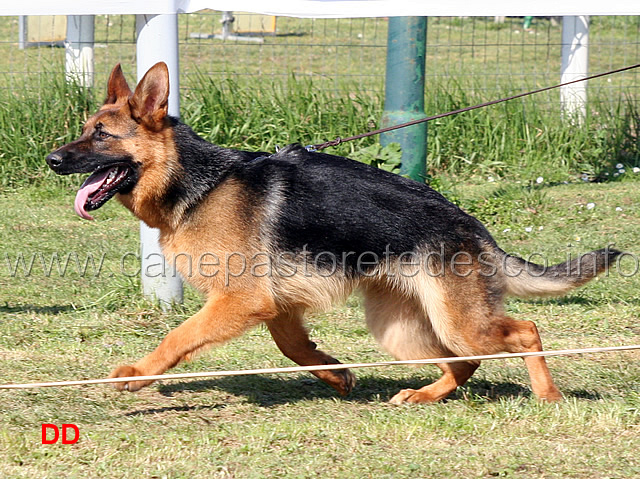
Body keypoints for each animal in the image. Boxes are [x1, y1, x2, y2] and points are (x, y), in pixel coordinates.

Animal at [46, 62, 620, 404]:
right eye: (83, 130)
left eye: (101, 135)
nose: (51, 160)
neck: (198, 184)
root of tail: (470, 225)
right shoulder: (275, 305)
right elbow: (293, 347)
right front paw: (334, 372)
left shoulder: (239, 300)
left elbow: (177, 336)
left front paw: (140, 374)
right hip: (402, 328)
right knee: (467, 359)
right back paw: (424, 395)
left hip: (457, 321)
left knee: (524, 332)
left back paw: (547, 396)